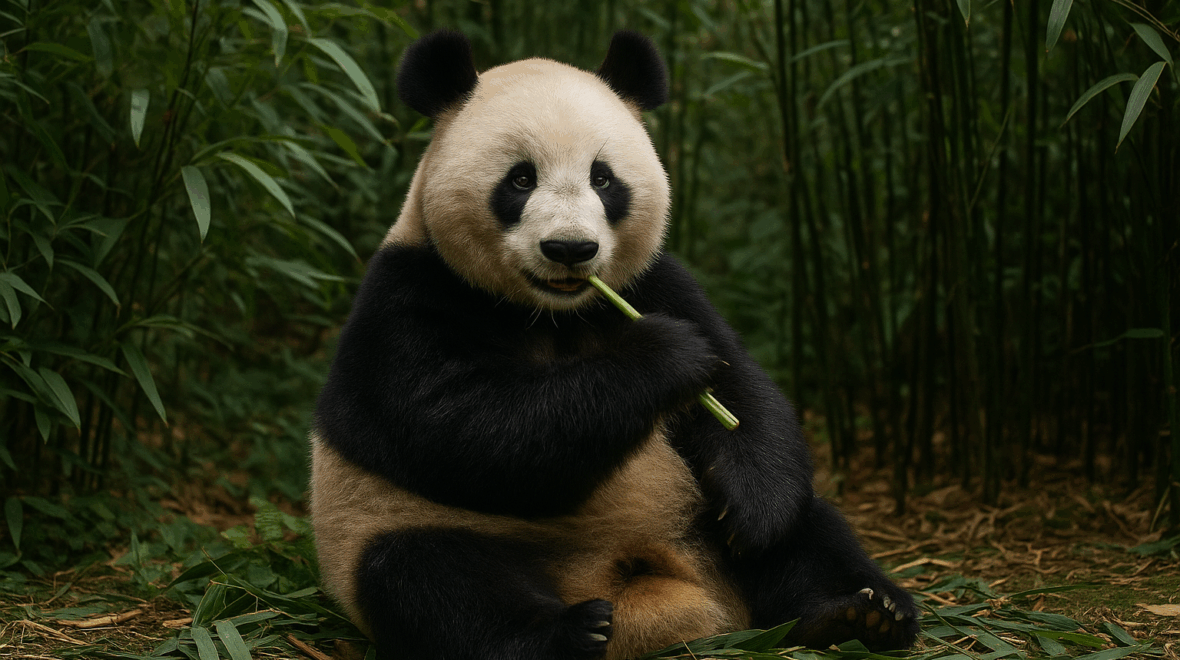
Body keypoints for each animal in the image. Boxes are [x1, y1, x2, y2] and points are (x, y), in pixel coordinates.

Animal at [310, 30, 920, 660]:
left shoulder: (653, 284)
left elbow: (742, 389)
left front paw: (755, 511)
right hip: (390, 525)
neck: (553, 313)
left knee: (814, 531)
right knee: (432, 582)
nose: (570, 249)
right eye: (520, 179)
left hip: (696, 517)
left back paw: (861, 614)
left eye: (603, 179)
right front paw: (664, 357)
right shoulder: (410, 297)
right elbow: (463, 424)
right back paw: (569, 631)